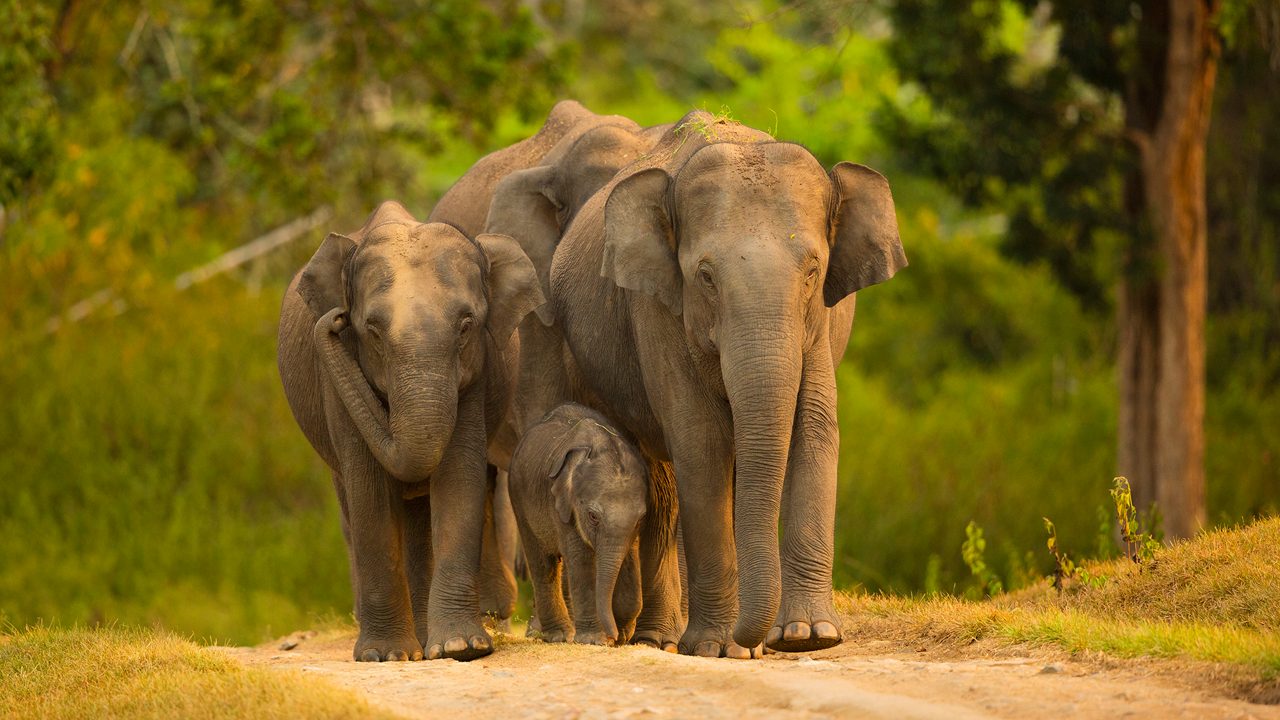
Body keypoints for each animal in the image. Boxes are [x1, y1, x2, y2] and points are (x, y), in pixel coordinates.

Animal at [277, 198, 542, 661]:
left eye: (466, 325)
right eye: (371, 330)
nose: (335, 318)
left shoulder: (475, 375)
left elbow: (459, 476)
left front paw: (460, 648)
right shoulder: (336, 381)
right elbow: (368, 488)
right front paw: (384, 656)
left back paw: (424, 637)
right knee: (352, 504)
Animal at [506, 399, 650, 640]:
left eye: (641, 519)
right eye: (593, 516)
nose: (613, 637)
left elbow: (630, 558)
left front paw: (622, 635)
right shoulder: (562, 505)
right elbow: (581, 561)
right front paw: (595, 640)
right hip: (518, 496)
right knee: (543, 564)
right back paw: (559, 635)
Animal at [545, 110, 906, 655]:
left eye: (813, 271)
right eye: (706, 276)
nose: (757, 640)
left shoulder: (818, 324)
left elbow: (814, 429)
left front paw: (808, 637)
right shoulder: (658, 310)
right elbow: (701, 443)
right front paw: (716, 648)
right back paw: (663, 640)